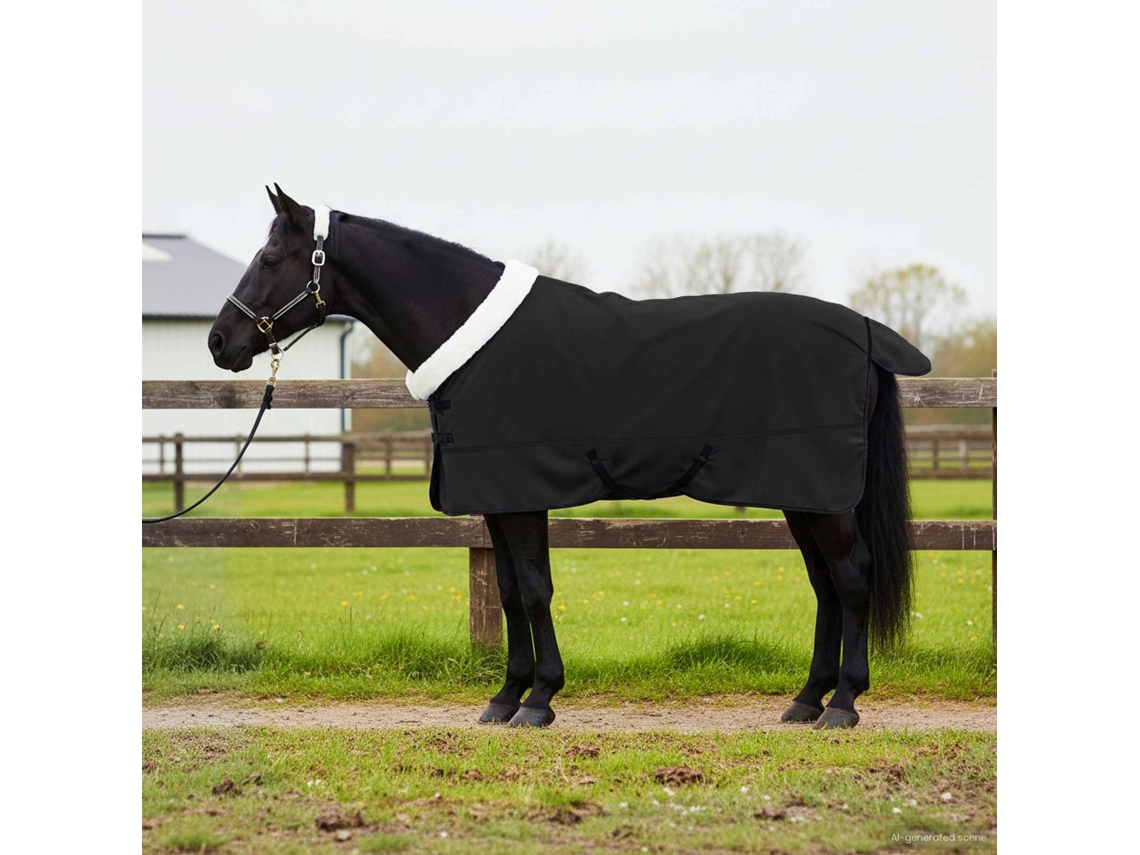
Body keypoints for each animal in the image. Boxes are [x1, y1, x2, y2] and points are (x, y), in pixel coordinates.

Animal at [208, 185, 930, 730]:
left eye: (270, 256)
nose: (219, 341)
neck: (471, 337)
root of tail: (864, 331)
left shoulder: (521, 494)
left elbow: (533, 590)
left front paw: (540, 699)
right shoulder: (496, 500)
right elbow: (507, 592)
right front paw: (506, 697)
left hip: (823, 495)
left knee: (853, 578)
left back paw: (843, 703)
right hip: (801, 494)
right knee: (826, 584)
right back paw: (806, 700)